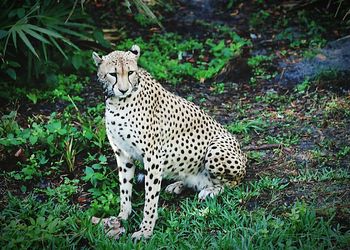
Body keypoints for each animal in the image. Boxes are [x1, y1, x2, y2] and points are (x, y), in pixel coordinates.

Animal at [91, 45, 247, 240]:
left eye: (130, 72)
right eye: (113, 73)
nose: (123, 90)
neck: (118, 102)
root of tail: (243, 155)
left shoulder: (153, 157)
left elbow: (150, 198)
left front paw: (146, 230)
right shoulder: (123, 154)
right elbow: (124, 189)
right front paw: (122, 216)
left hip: (215, 149)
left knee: (231, 183)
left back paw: (210, 191)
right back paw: (178, 185)